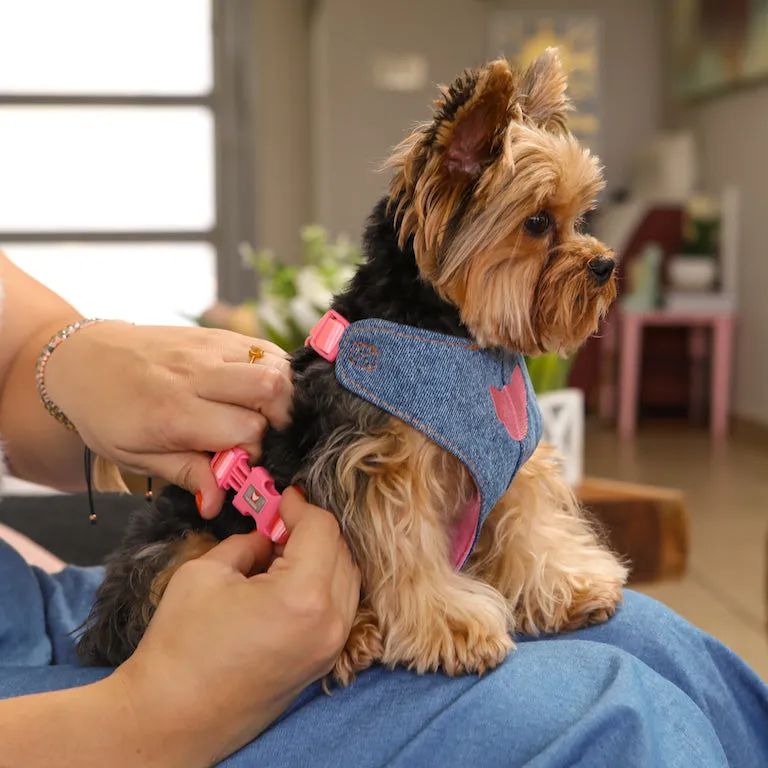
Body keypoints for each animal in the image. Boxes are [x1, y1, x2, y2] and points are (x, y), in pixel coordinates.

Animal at [78, 49, 628, 684]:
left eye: (581, 217)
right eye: (538, 223)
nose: (607, 265)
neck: (451, 334)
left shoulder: (509, 460)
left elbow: (530, 526)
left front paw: (571, 587)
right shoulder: (378, 466)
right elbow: (405, 548)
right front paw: (454, 628)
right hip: (182, 544)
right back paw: (350, 637)